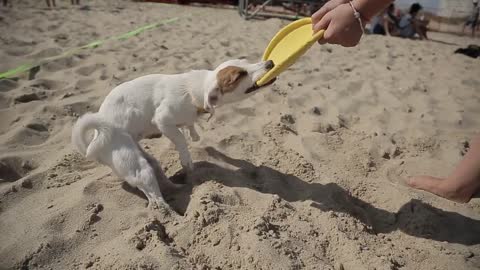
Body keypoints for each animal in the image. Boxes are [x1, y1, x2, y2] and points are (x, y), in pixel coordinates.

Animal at [70, 59, 274, 209]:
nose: (270, 62)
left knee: (158, 174)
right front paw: (186, 158)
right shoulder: (162, 120)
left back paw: (178, 187)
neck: (194, 91)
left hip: (146, 159)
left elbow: (189, 127)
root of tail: (97, 138)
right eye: (240, 75)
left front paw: (194, 134)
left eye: (246, 61)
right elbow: (180, 139)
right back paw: (167, 212)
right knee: (152, 194)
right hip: (135, 166)